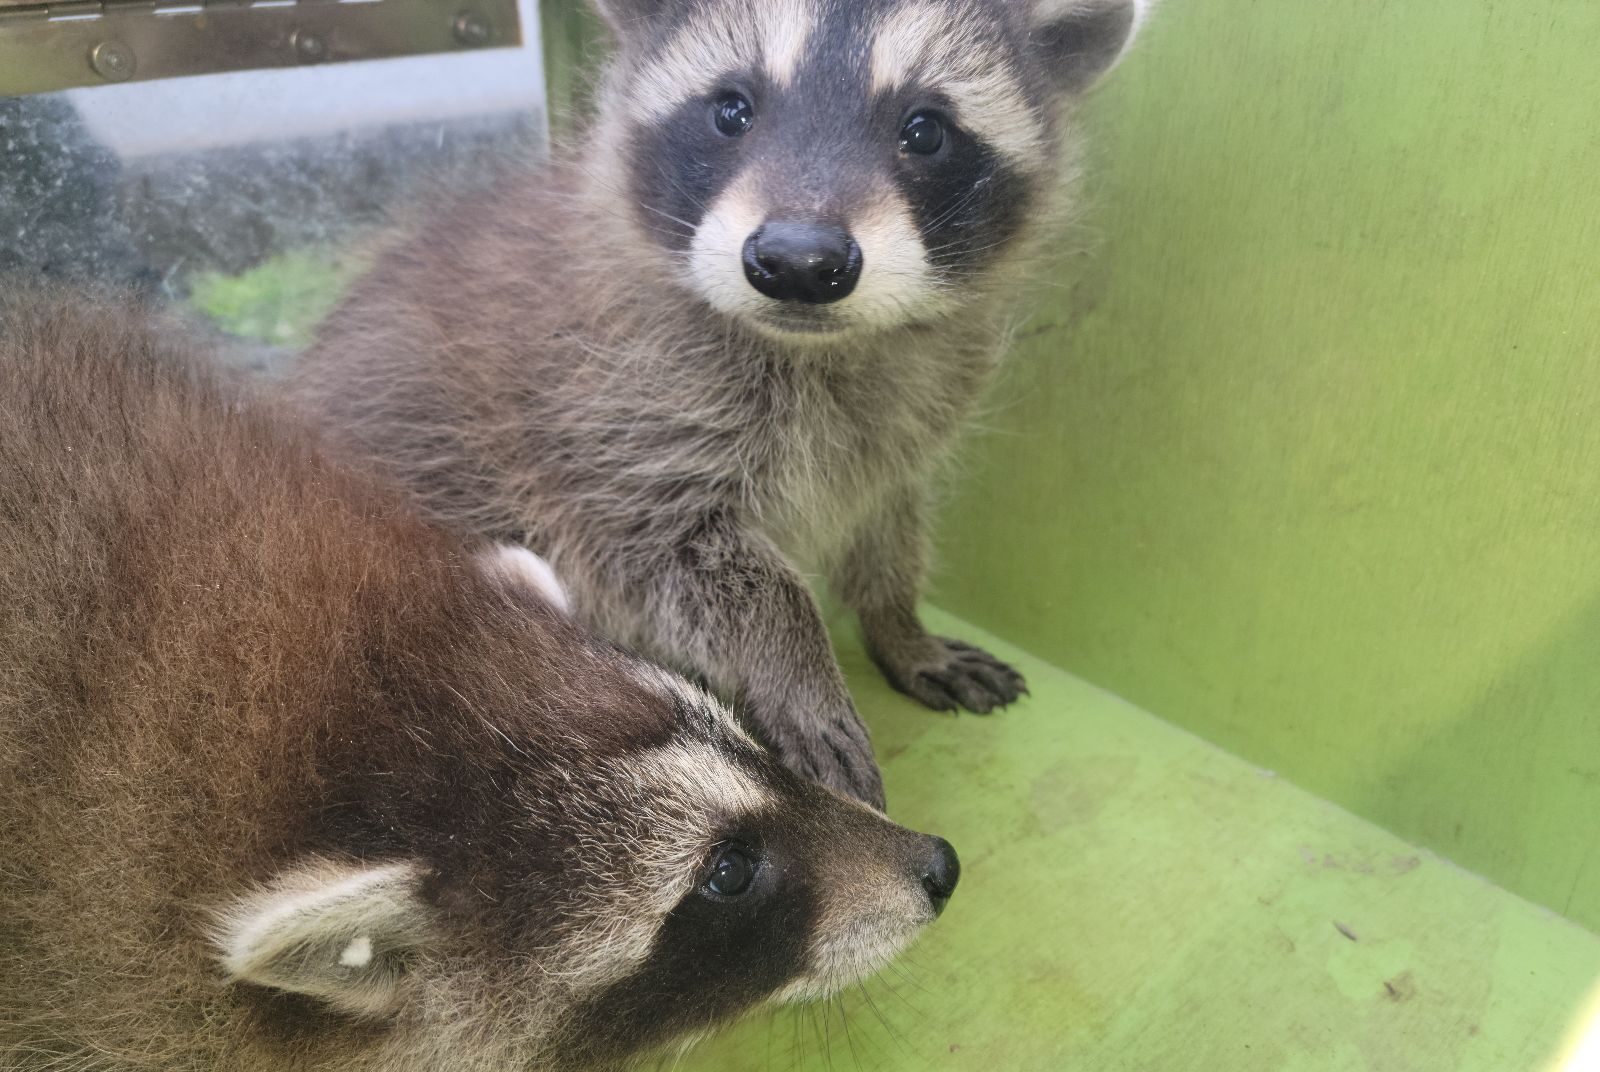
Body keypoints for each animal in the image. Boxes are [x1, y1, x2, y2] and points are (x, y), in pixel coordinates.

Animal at [292, 0, 1150, 807]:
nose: (799, 261)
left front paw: (899, 624)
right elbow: (681, 560)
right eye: (731, 110)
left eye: (926, 130)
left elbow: (888, 520)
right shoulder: (602, 420)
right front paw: (799, 668)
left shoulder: (906, 424)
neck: (817, 346)